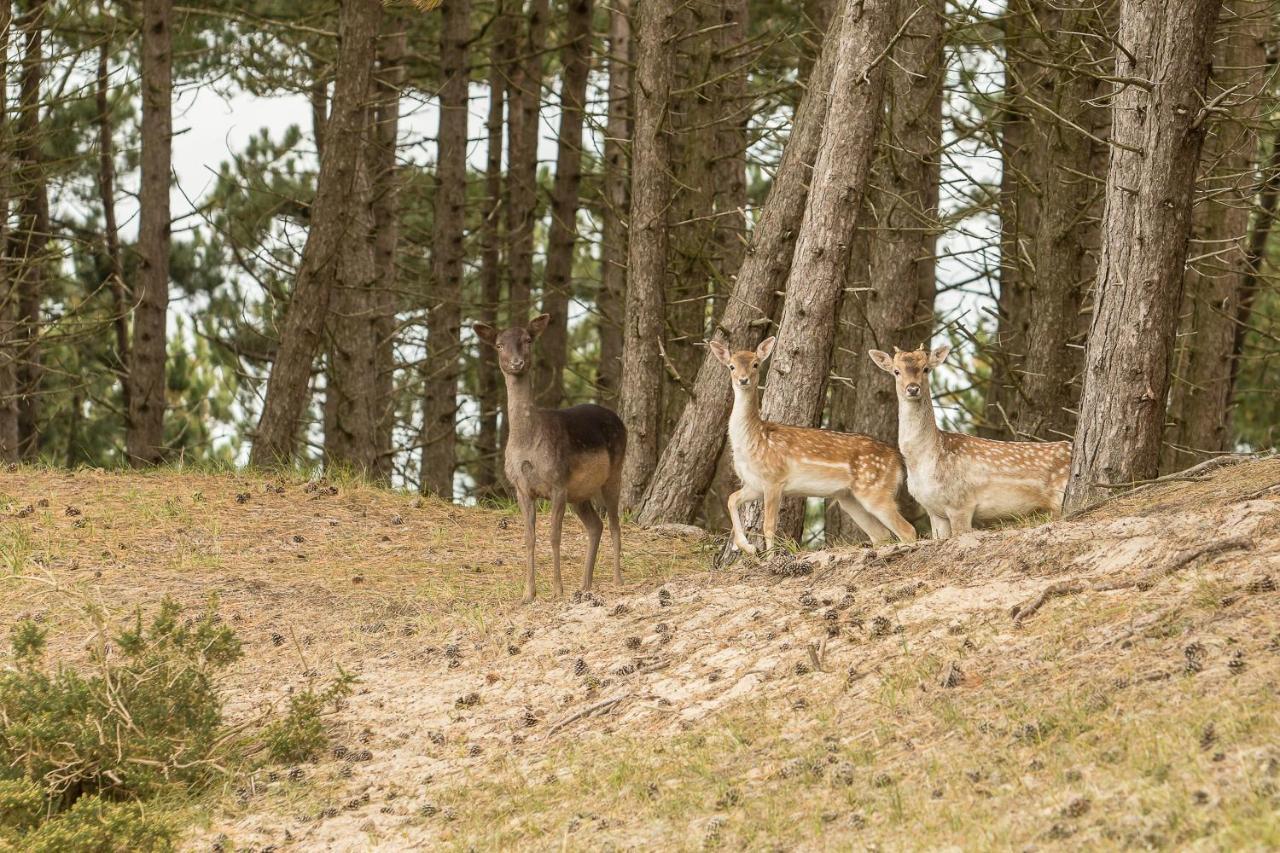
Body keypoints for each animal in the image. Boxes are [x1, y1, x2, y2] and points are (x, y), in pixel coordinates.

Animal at [473, 312, 627, 596]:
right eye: (499, 345)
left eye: (527, 340)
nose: (517, 362)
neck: (527, 443)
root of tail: (619, 420)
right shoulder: (521, 488)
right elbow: (529, 537)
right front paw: (528, 593)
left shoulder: (558, 482)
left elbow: (554, 535)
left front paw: (557, 590)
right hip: (580, 493)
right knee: (595, 525)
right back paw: (584, 584)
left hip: (614, 472)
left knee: (614, 522)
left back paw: (617, 580)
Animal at [706, 335, 916, 555]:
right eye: (731, 366)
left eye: (755, 364)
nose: (743, 379)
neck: (753, 440)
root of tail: (898, 460)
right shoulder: (754, 484)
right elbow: (731, 498)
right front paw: (747, 547)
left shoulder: (774, 478)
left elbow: (769, 525)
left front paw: (769, 557)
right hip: (849, 497)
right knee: (881, 534)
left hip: (875, 489)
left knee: (907, 530)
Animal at [870, 343, 1070, 535]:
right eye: (896, 371)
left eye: (926, 369)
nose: (912, 389)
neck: (926, 460)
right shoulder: (934, 510)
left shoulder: (960, 503)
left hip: (1059, 497)